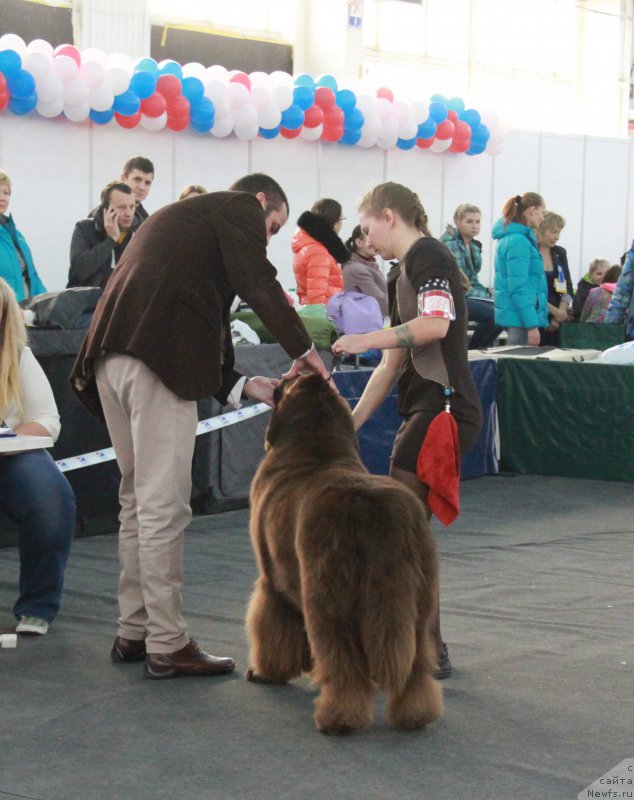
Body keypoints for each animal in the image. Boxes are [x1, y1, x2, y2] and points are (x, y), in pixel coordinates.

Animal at [244, 372, 442, 736]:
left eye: (288, 381)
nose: (294, 371)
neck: (316, 448)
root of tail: (377, 511)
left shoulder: (270, 579)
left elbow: (271, 627)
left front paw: (265, 672)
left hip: (328, 594)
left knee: (341, 660)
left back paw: (338, 718)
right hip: (420, 596)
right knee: (417, 662)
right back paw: (415, 715)